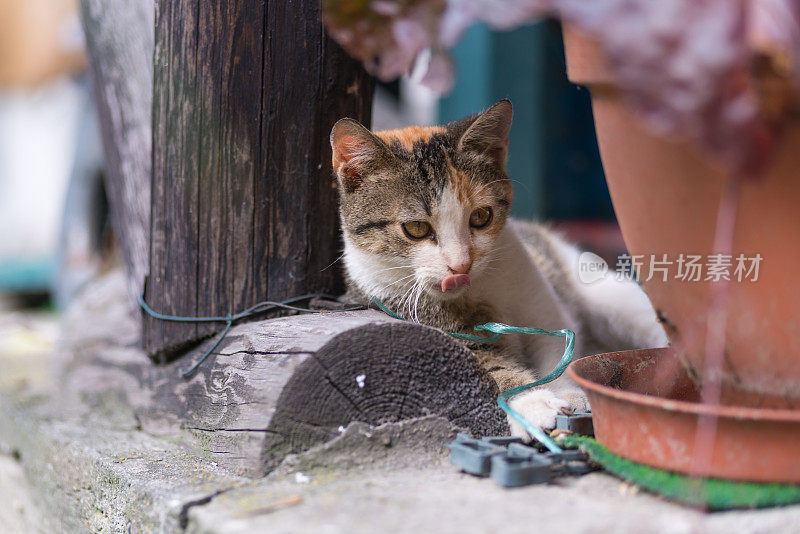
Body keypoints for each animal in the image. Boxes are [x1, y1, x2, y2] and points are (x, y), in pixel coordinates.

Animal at [328, 99, 664, 440]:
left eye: (481, 216)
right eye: (416, 228)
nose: (460, 264)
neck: (479, 290)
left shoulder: (542, 303)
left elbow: (556, 345)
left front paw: (568, 392)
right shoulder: (422, 320)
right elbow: (489, 367)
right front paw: (534, 404)